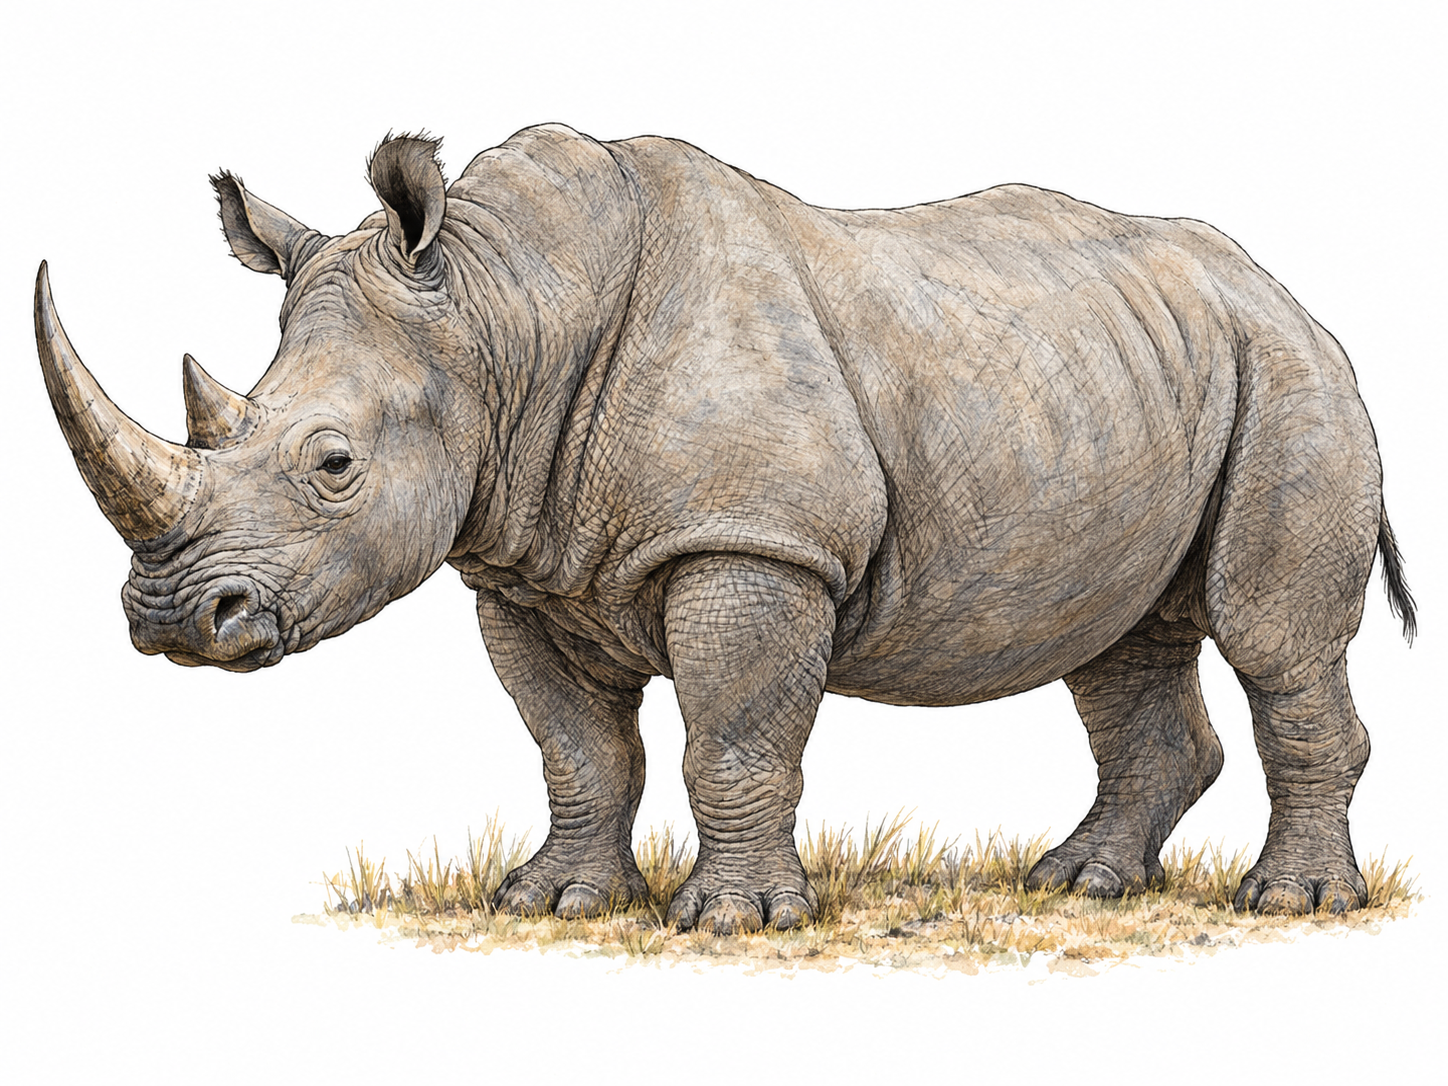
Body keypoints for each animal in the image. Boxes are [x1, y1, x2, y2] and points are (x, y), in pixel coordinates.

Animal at [36, 124, 1414, 932]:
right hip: (1144, 374)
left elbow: (734, 737)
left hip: (1289, 374)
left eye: (332, 465)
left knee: (1270, 636)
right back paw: (1077, 885)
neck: (500, 313)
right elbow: (578, 749)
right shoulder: (518, 569)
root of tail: (1280, 290)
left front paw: (731, 922)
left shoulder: (750, 540)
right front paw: (551, 904)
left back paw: (1288, 902)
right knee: (1118, 642)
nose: (172, 621)